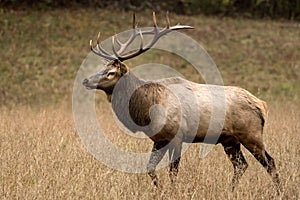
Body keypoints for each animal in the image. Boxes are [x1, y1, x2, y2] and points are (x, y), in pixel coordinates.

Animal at [81, 12, 282, 192]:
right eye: (102, 68)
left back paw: (279, 192)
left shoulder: (177, 136)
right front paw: (160, 190)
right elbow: (150, 168)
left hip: (251, 134)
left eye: (111, 73)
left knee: (270, 162)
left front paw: (172, 191)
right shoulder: (159, 139)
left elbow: (173, 170)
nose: (85, 80)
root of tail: (261, 104)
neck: (146, 111)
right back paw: (230, 191)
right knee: (241, 165)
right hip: (229, 140)